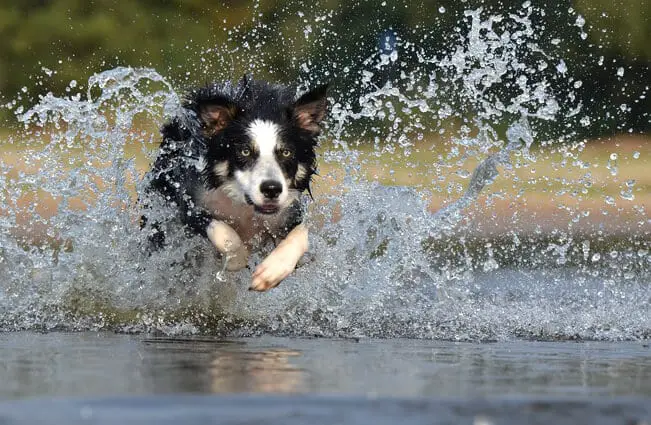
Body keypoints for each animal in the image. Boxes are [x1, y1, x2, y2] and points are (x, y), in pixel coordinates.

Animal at [141, 74, 326, 290]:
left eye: (286, 152)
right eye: (244, 151)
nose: (272, 189)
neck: (244, 206)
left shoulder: (289, 212)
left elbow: (301, 234)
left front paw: (271, 271)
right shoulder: (190, 202)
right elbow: (222, 231)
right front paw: (236, 258)